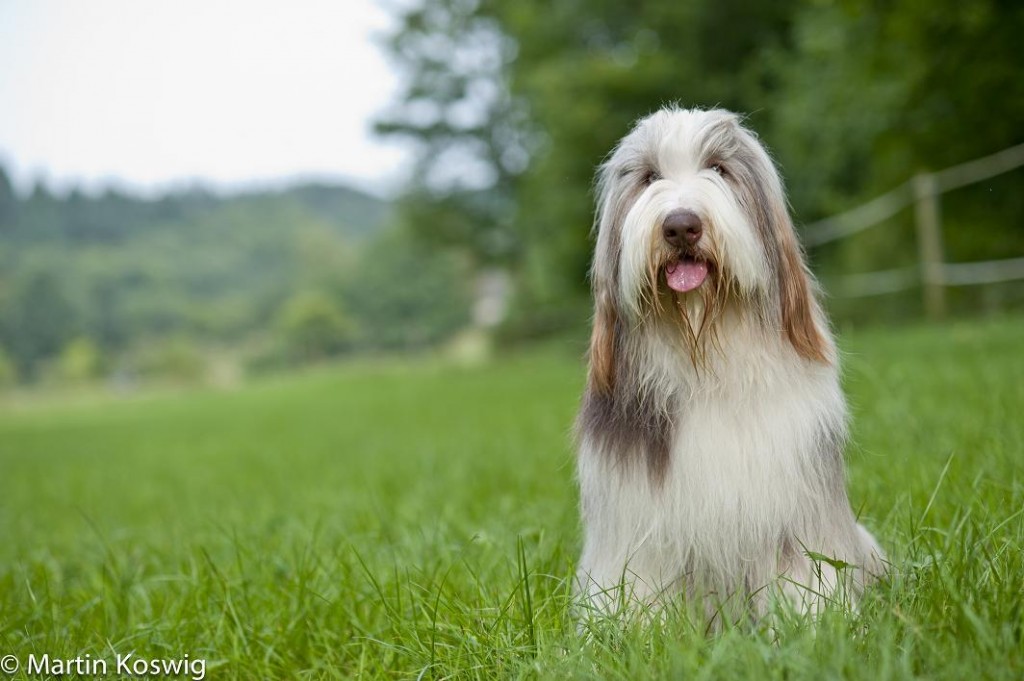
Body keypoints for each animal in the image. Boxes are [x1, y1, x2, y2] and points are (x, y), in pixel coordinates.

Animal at [573, 104, 884, 622]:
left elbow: (802, 573)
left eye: (718, 168)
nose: (681, 225)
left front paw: (813, 624)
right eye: (649, 177)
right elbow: (637, 588)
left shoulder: (789, 501)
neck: (704, 360)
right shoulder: (637, 526)